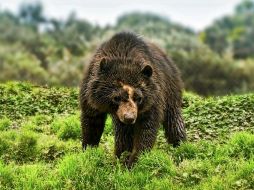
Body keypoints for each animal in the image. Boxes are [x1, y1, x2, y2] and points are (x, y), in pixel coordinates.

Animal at [80, 31, 187, 168]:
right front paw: (88, 150)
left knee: (173, 118)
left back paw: (180, 144)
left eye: (138, 98)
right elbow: (92, 121)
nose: (129, 118)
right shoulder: (90, 95)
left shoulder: (152, 99)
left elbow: (146, 127)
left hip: (171, 89)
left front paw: (134, 161)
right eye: (116, 97)